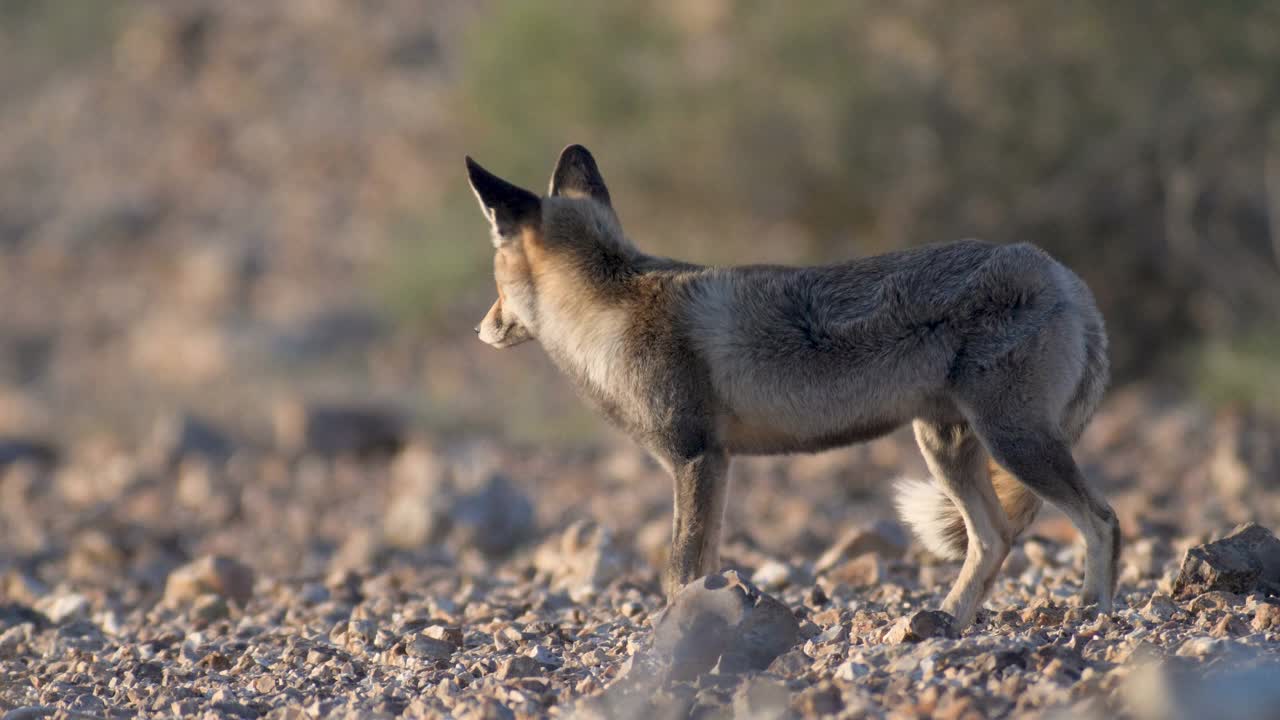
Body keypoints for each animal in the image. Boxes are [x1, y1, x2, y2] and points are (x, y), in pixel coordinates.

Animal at [465, 142, 1116, 625]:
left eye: (494, 279)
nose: (481, 329)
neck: (610, 309)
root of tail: (1064, 276)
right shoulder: (712, 462)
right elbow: (700, 566)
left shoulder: (696, 457)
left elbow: (682, 569)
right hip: (947, 447)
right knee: (994, 539)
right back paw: (948, 621)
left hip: (1014, 441)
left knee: (1102, 519)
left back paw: (1094, 611)